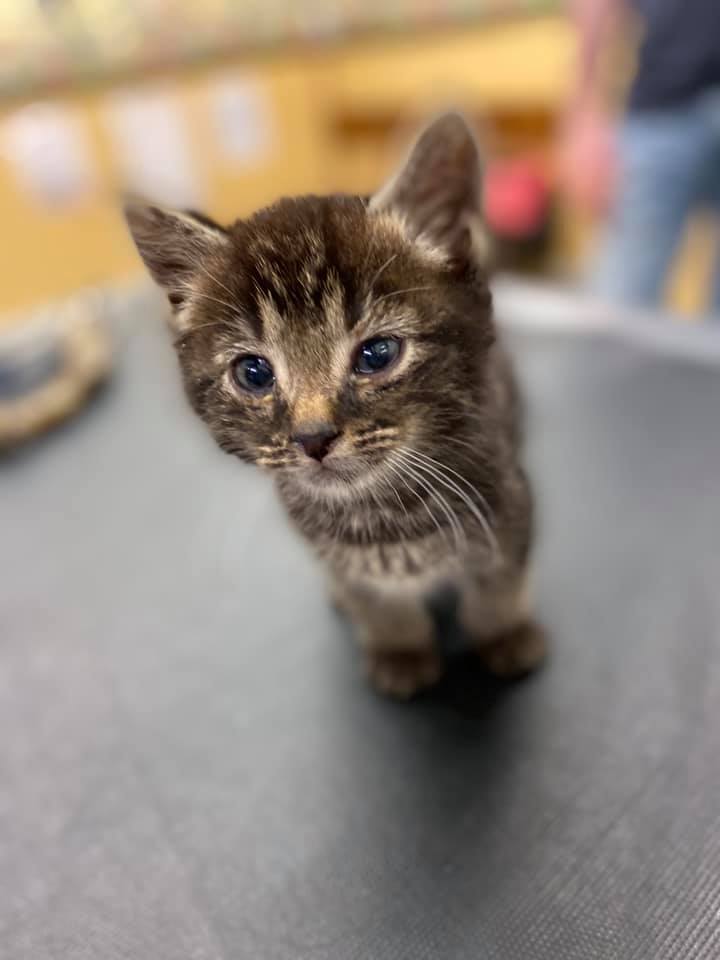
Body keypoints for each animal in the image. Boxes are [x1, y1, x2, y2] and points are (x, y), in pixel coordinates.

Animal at [124, 112, 545, 698]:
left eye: (377, 354)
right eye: (254, 373)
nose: (313, 435)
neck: (382, 512)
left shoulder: (509, 502)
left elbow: (499, 582)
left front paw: (504, 635)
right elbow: (377, 601)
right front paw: (400, 650)